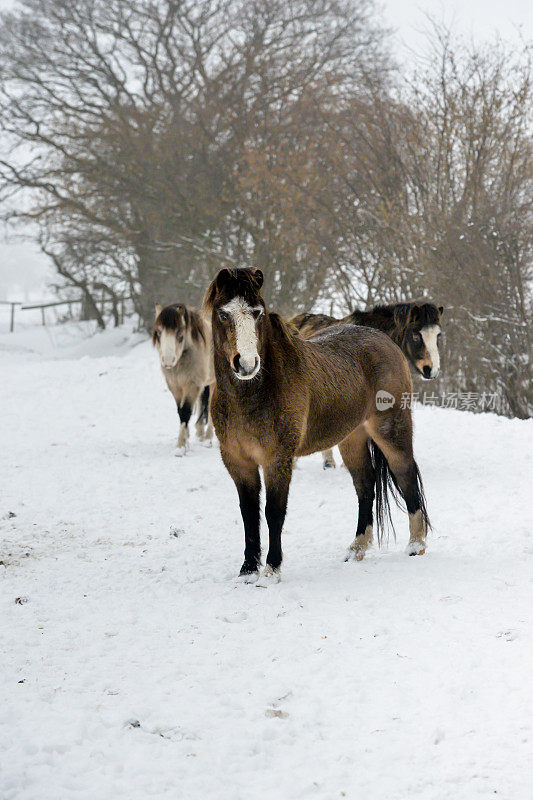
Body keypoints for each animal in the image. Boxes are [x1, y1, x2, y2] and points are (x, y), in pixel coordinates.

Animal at [152, 302, 214, 450]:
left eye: (179, 333)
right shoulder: (175, 387)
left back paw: (208, 438)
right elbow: (180, 410)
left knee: (210, 407)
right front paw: (185, 439)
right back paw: (200, 433)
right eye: (159, 332)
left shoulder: (192, 385)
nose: (168, 361)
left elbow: (185, 411)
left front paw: (181, 446)